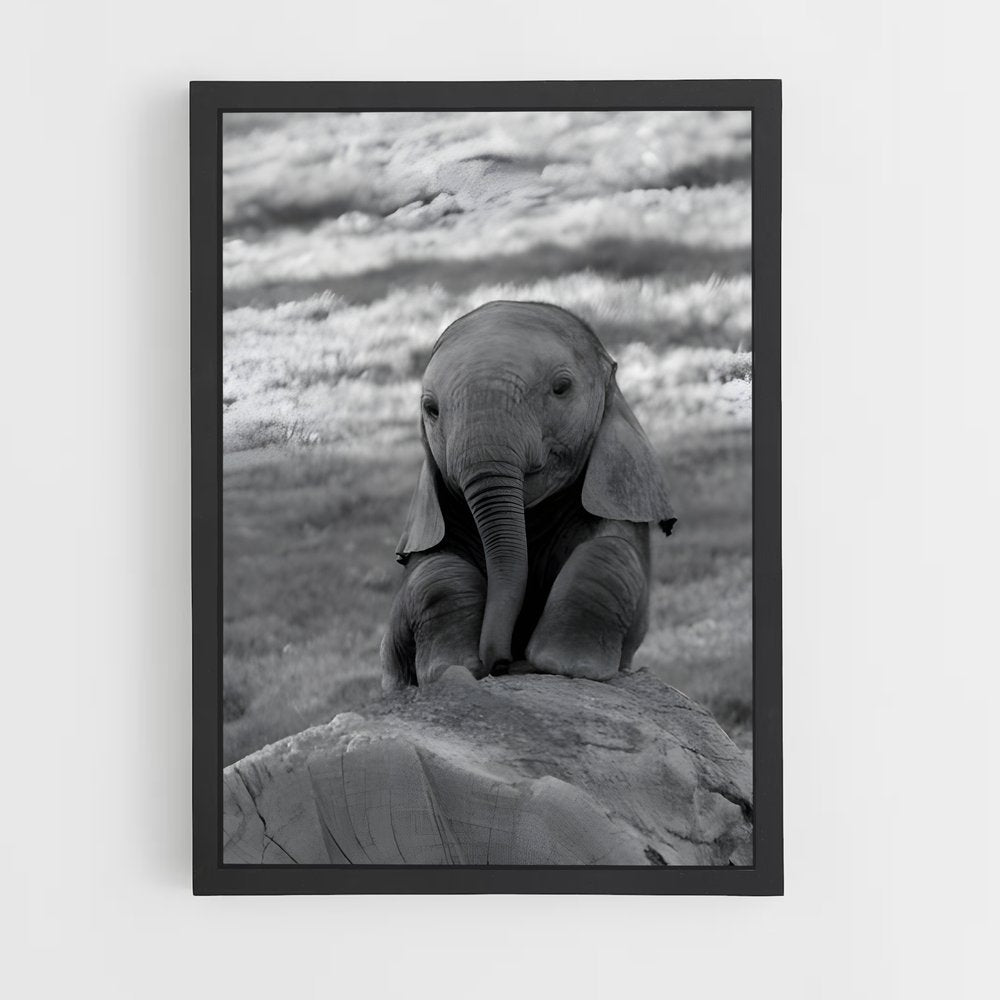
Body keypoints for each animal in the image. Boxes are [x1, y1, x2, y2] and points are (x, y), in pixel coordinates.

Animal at [380, 300, 677, 691]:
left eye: (561, 388)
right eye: (431, 409)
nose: (503, 662)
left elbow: (609, 554)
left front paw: (561, 665)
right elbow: (435, 573)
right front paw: (451, 671)